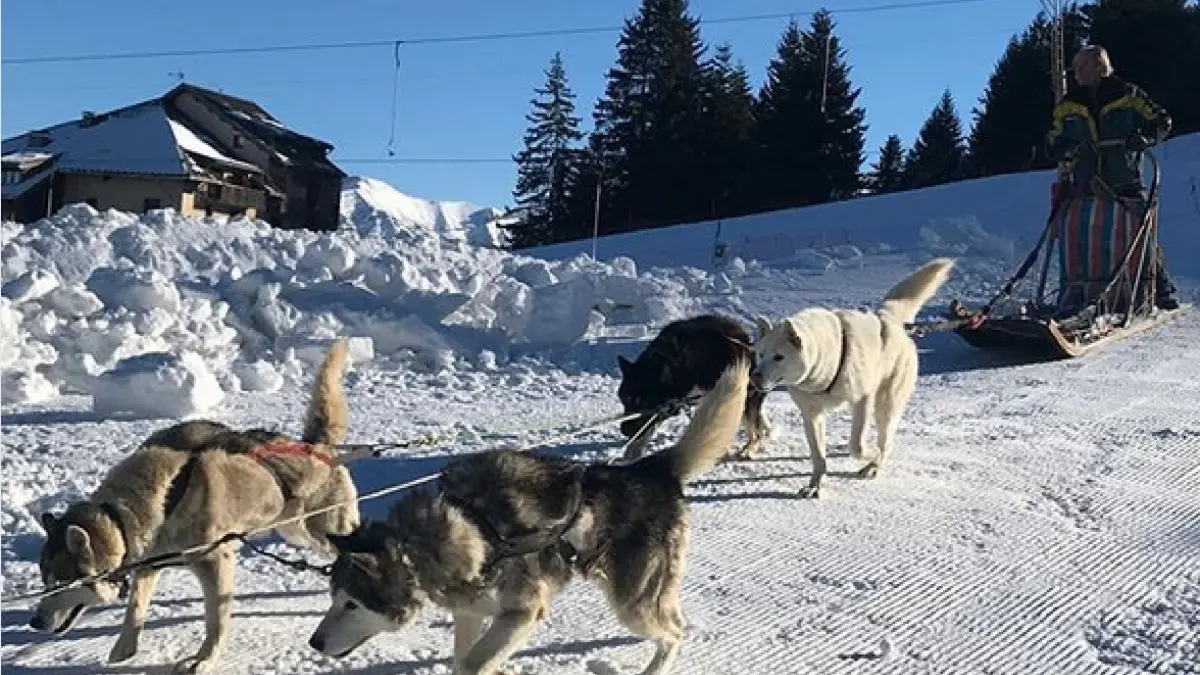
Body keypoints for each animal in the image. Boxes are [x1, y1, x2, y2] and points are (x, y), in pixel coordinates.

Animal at [31, 338, 360, 667]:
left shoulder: (216, 562)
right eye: (44, 579)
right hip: (295, 531)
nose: (34, 622)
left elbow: (216, 621)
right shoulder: (148, 565)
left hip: (322, 531)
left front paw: (203, 660)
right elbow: (135, 609)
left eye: (61, 583)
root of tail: (316, 446)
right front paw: (124, 650)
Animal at [314, 355, 753, 667]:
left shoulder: (523, 613)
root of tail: (653, 468)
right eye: (333, 596)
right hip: (644, 596)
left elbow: (473, 664)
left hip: (632, 603)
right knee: (671, 621)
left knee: (672, 635)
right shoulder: (471, 613)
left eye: (352, 603)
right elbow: (465, 659)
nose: (314, 642)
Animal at [614, 312, 772, 458]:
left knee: (753, 427)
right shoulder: (671, 404)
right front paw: (633, 450)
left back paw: (749, 447)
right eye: (625, 398)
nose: (623, 430)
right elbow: (647, 427)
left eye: (641, 401)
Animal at [748, 254, 955, 497]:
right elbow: (818, 456)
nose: (755, 377)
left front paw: (869, 453)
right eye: (760, 354)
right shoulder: (812, 415)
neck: (826, 363)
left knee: (886, 441)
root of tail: (886, 318)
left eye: (779, 357)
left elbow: (857, 446)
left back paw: (873, 465)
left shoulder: (862, 400)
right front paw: (815, 485)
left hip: (886, 403)